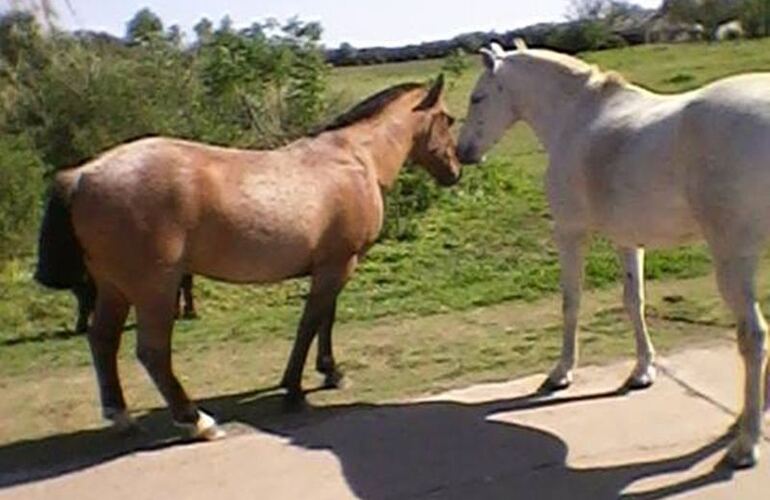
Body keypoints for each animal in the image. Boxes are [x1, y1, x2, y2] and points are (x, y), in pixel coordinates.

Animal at [33, 76, 460, 440]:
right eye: (448, 119)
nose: (456, 170)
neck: (356, 159)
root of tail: (83, 175)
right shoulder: (338, 265)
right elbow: (311, 323)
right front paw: (295, 389)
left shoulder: (333, 265)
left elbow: (325, 318)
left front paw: (330, 372)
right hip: (155, 288)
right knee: (152, 352)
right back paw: (195, 421)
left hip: (114, 287)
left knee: (103, 340)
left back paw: (121, 417)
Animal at [456, 40, 768, 468]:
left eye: (477, 97)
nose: (462, 152)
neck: (576, 116)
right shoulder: (628, 240)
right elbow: (633, 302)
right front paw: (642, 372)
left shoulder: (570, 234)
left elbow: (570, 303)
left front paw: (561, 372)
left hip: (733, 259)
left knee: (753, 337)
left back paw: (745, 442)